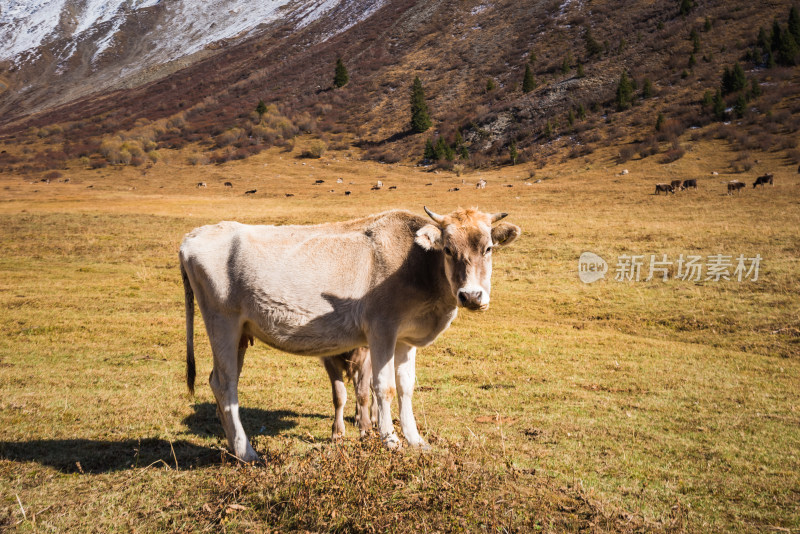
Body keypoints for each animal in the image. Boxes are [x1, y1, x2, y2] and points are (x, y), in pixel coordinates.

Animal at [178, 207, 520, 462]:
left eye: (488, 248)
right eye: (448, 250)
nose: (471, 296)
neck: (416, 265)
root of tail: (194, 235)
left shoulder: (406, 339)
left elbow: (406, 387)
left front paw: (416, 439)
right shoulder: (381, 330)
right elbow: (383, 387)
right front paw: (390, 440)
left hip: (239, 334)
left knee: (217, 382)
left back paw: (232, 447)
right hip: (221, 322)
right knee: (226, 384)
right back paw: (247, 452)